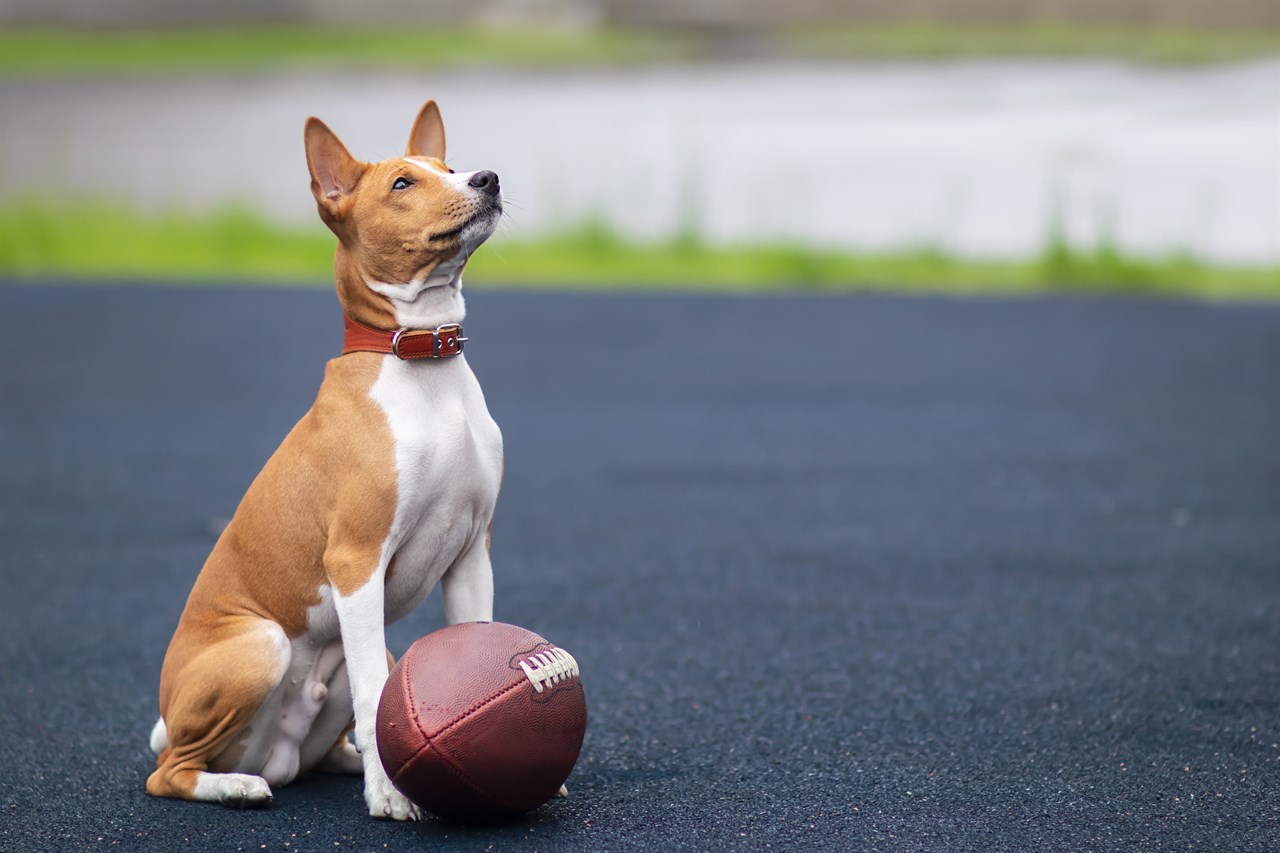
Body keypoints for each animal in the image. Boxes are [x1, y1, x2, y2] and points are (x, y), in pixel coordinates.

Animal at [146, 97, 504, 819]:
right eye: (403, 183)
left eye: (449, 167)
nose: (487, 178)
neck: (426, 368)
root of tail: (270, 755)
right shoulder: (355, 561)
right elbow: (372, 697)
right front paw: (390, 795)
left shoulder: (471, 553)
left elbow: (463, 649)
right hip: (261, 645)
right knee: (170, 770)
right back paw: (234, 785)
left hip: (357, 658)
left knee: (326, 745)